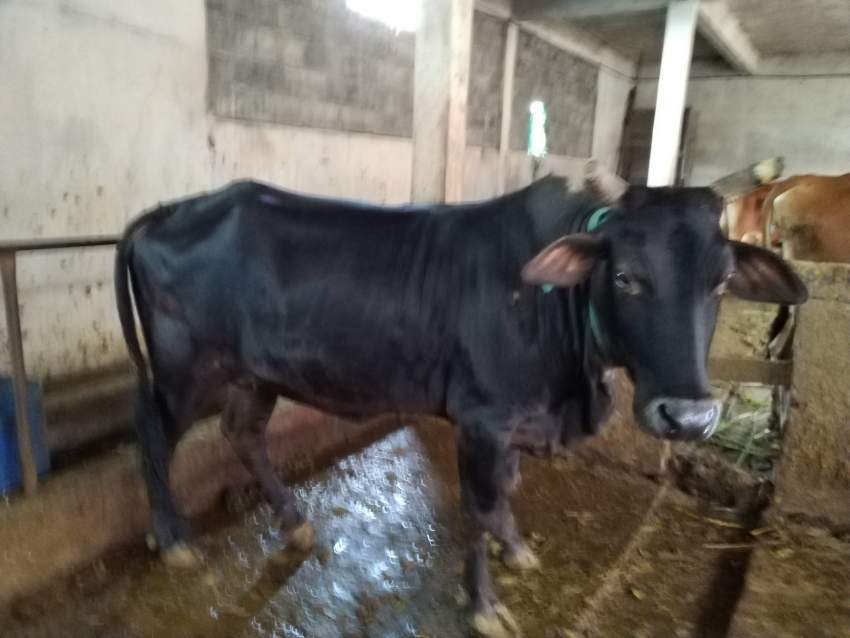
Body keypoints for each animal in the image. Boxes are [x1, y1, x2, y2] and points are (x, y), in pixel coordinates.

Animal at [115, 176, 807, 638]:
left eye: (721, 281)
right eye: (625, 276)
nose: (687, 418)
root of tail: (168, 211)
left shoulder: (514, 422)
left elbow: (505, 493)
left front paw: (516, 549)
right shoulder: (482, 419)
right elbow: (477, 506)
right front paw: (484, 604)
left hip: (253, 375)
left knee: (242, 434)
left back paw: (294, 522)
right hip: (185, 368)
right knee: (152, 431)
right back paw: (173, 538)